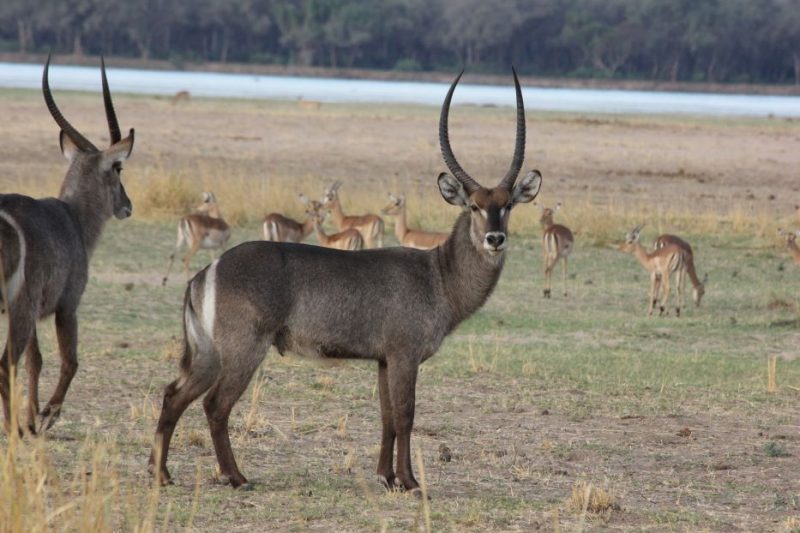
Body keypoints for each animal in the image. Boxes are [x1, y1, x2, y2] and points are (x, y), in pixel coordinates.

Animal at [0, 56, 134, 434]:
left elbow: (35, 360)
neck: (73, 217)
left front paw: (32, 419)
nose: (128, 206)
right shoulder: (67, 305)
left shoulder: (35, 313)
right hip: (18, 308)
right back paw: (11, 429)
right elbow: (70, 360)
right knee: (5, 364)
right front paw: (47, 416)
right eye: (118, 168)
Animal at [148, 68, 544, 492]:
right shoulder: (404, 355)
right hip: (244, 348)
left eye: (508, 205)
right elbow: (406, 415)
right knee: (215, 404)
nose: (495, 238)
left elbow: (387, 418)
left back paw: (162, 473)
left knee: (173, 395)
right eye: (473, 206)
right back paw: (235, 477)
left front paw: (386, 476)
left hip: (207, 352)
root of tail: (206, 272)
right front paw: (410, 482)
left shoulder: (384, 360)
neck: (438, 274)